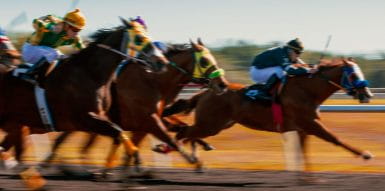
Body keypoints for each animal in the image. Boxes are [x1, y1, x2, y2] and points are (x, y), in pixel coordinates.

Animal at [161, 58, 372, 170]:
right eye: (353, 75)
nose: (367, 95)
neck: (307, 89)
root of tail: (207, 91)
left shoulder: (303, 128)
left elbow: (303, 152)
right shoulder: (311, 124)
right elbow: (335, 138)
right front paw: (364, 154)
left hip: (218, 124)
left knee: (187, 133)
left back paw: (190, 155)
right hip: (210, 124)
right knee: (184, 132)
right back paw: (171, 150)